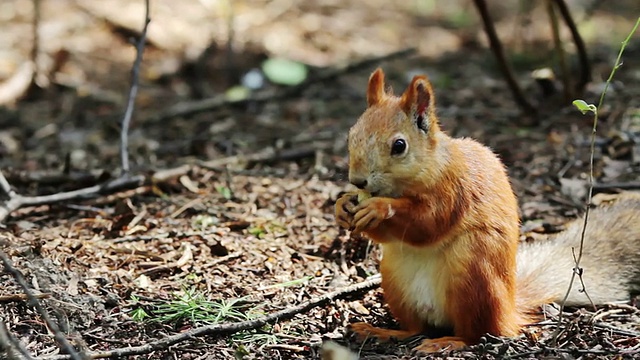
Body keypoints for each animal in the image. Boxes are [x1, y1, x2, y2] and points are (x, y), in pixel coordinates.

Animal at [336, 69, 640, 352]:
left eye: (399, 146)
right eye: (350, 136)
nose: (358, 181)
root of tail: (509, 311)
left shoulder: (454, 189)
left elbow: (429, 223)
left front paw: (378, 207)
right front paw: (343, 205)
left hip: (473, 273)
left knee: (477, 333)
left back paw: (448, 342)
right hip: (394, 279)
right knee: (416, 328)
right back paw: (382, 332)